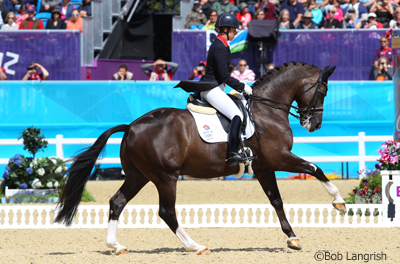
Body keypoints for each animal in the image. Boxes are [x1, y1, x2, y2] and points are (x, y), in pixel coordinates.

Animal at [54, 60, 346, 255]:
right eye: (323, 91)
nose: (314, 125)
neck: (267, 109)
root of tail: (132, 126)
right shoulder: (280, 158)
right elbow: (316, 169)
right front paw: (339, 203)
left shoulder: (264, 167)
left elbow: (277, 201)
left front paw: (292, 238)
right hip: (165, 177)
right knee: (166, 211)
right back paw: (196, 246)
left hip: (139, 176)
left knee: (117, 202)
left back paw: (116, 246)